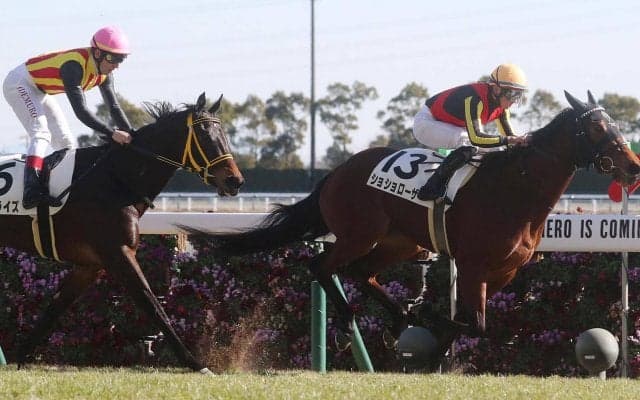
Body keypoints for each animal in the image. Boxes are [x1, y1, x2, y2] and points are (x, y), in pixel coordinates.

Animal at [0, 92, 243, 374]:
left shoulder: (89, 266)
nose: (235, 181)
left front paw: (21, 356)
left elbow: (55, 308)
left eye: (223, 133)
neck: (116, 179)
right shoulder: (118, 253)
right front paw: (195, 362)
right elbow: (152, 304)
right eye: (204, 137)